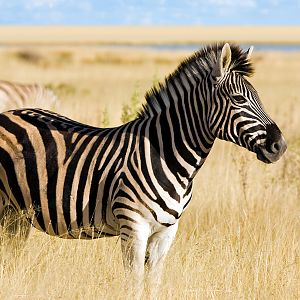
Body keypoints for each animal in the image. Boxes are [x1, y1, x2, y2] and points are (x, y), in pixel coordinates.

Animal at [0, 43, 288, 298]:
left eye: (259, 98)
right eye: (238, 99)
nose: (280, 146)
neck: (167, 156)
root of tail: (8, 113)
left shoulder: (166, 233)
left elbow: (154, 284)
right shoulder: (133, 228)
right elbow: (135, 285)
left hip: (16, 214)